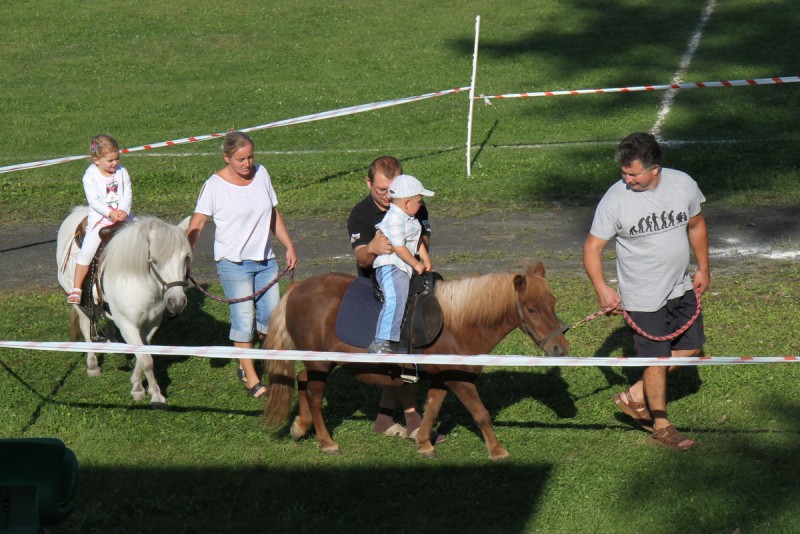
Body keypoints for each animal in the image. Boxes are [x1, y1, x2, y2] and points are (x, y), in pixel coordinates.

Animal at [56, 207, 192, 408]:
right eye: (154, 260)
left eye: (186, 257)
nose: (177, 301)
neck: (142, 282)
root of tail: (77, 211)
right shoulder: (128, 326)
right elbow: (146, 360)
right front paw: (156, 396)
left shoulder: (151, 324)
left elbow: (143, 355)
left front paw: (137, 387)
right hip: (80, 306)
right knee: (86, 330)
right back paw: (93, 365)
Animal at [264, 262, 568, 460]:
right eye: (531, 309)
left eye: (553, 302)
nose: (560, 347)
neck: (457, 323)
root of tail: (297, 288)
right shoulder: (459, 379)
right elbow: (481, 413)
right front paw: (497, 450)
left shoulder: (443, 377)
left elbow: (432, 408)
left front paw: (424, 443)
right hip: (320, 363)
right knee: (314, 396)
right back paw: (327, 442)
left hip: (318, 363)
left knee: (302, 381)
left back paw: (300, 426)